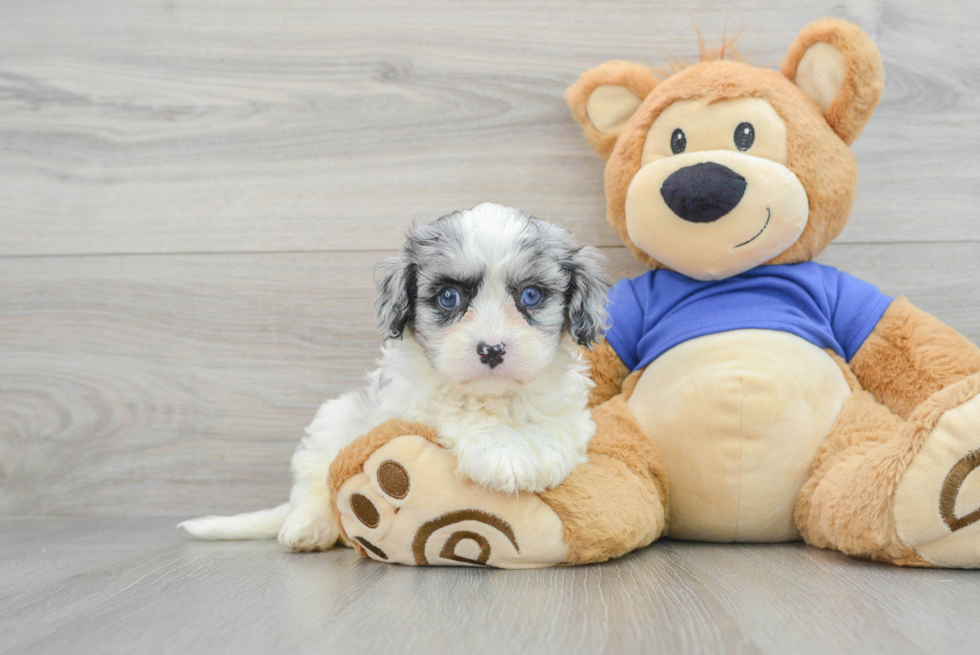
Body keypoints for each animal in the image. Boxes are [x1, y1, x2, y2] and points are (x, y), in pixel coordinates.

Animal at [180, 202, 608, 552]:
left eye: (531, 296)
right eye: (449, 298)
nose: (491, 349)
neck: (492, 396)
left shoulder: (569, 412)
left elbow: (557, 430)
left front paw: (534, 452)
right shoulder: (408, 403)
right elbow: (452, 410)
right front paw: (503, 450)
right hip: (334, 418)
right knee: (314, 480)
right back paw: (308, 527)